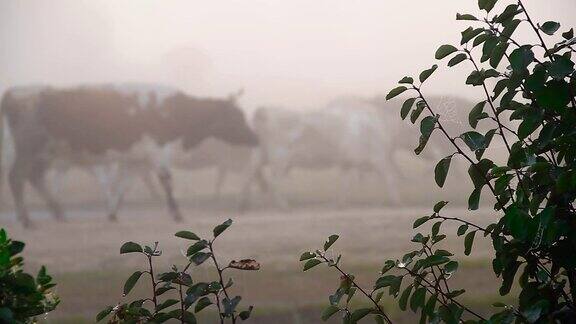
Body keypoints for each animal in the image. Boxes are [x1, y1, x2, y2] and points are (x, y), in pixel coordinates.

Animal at [0, 86, 256, 228]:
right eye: (236, 116)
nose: (255, 137)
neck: (168, 109)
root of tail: (14, 94)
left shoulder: (136, 157)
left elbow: (125, 183)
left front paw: (113, 213)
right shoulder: (157, 148)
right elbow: (165, 179)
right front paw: (176, 212)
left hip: (43, 153)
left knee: (34, 177)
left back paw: (57, 212)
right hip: (29, 148)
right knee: (17, 177)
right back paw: (27, 219)